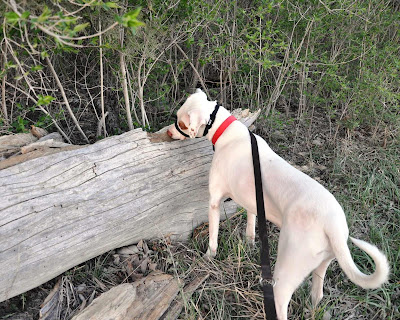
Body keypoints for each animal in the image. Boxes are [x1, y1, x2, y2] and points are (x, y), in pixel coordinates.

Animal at [167, 89, 390, 318]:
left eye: (181, 122)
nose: (168, 132)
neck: (227, 131)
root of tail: (333, 225)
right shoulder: (252, 201)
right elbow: (251, 226)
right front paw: (250, 243)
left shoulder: (214, 202)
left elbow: (213, 238)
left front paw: (208, 257)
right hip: (323, 265)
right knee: (317, 295)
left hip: (285, 274)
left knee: (281, 303)